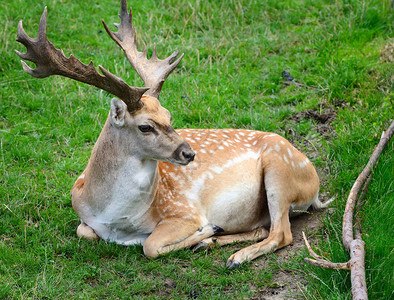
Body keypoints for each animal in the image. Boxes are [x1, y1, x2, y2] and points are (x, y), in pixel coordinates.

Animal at [16, 0, 332, 268]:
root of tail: (314, 183)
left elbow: (150, 246)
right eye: (145, 126)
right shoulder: (85, 217)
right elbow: (85, 232)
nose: (189, 152)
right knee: (265, 228)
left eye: (169, 116)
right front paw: (206, 236)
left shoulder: (183, 210)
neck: (115, 217)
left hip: (280, 170)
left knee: (282, 233)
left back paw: (234, 256)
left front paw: (206, 229)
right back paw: (212, 244)